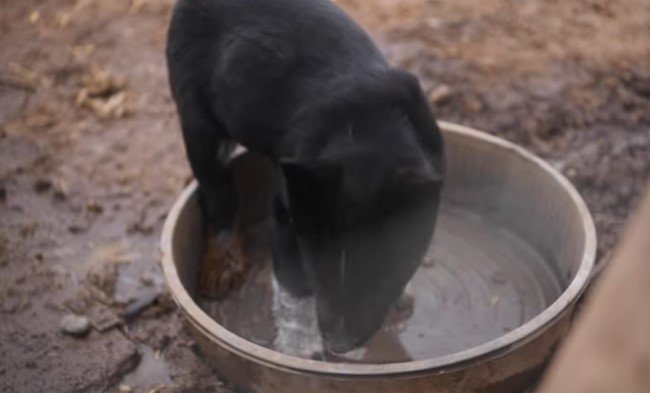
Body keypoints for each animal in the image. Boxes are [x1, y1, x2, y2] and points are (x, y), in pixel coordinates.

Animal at [165, 0, 442, 350]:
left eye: (380, 279)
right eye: (318, 273)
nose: (338, 345)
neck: (367, 130)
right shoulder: (287, 213)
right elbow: (293, 290)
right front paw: (297, 348)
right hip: (196, 115)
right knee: (218, 191)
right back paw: (222, 265)